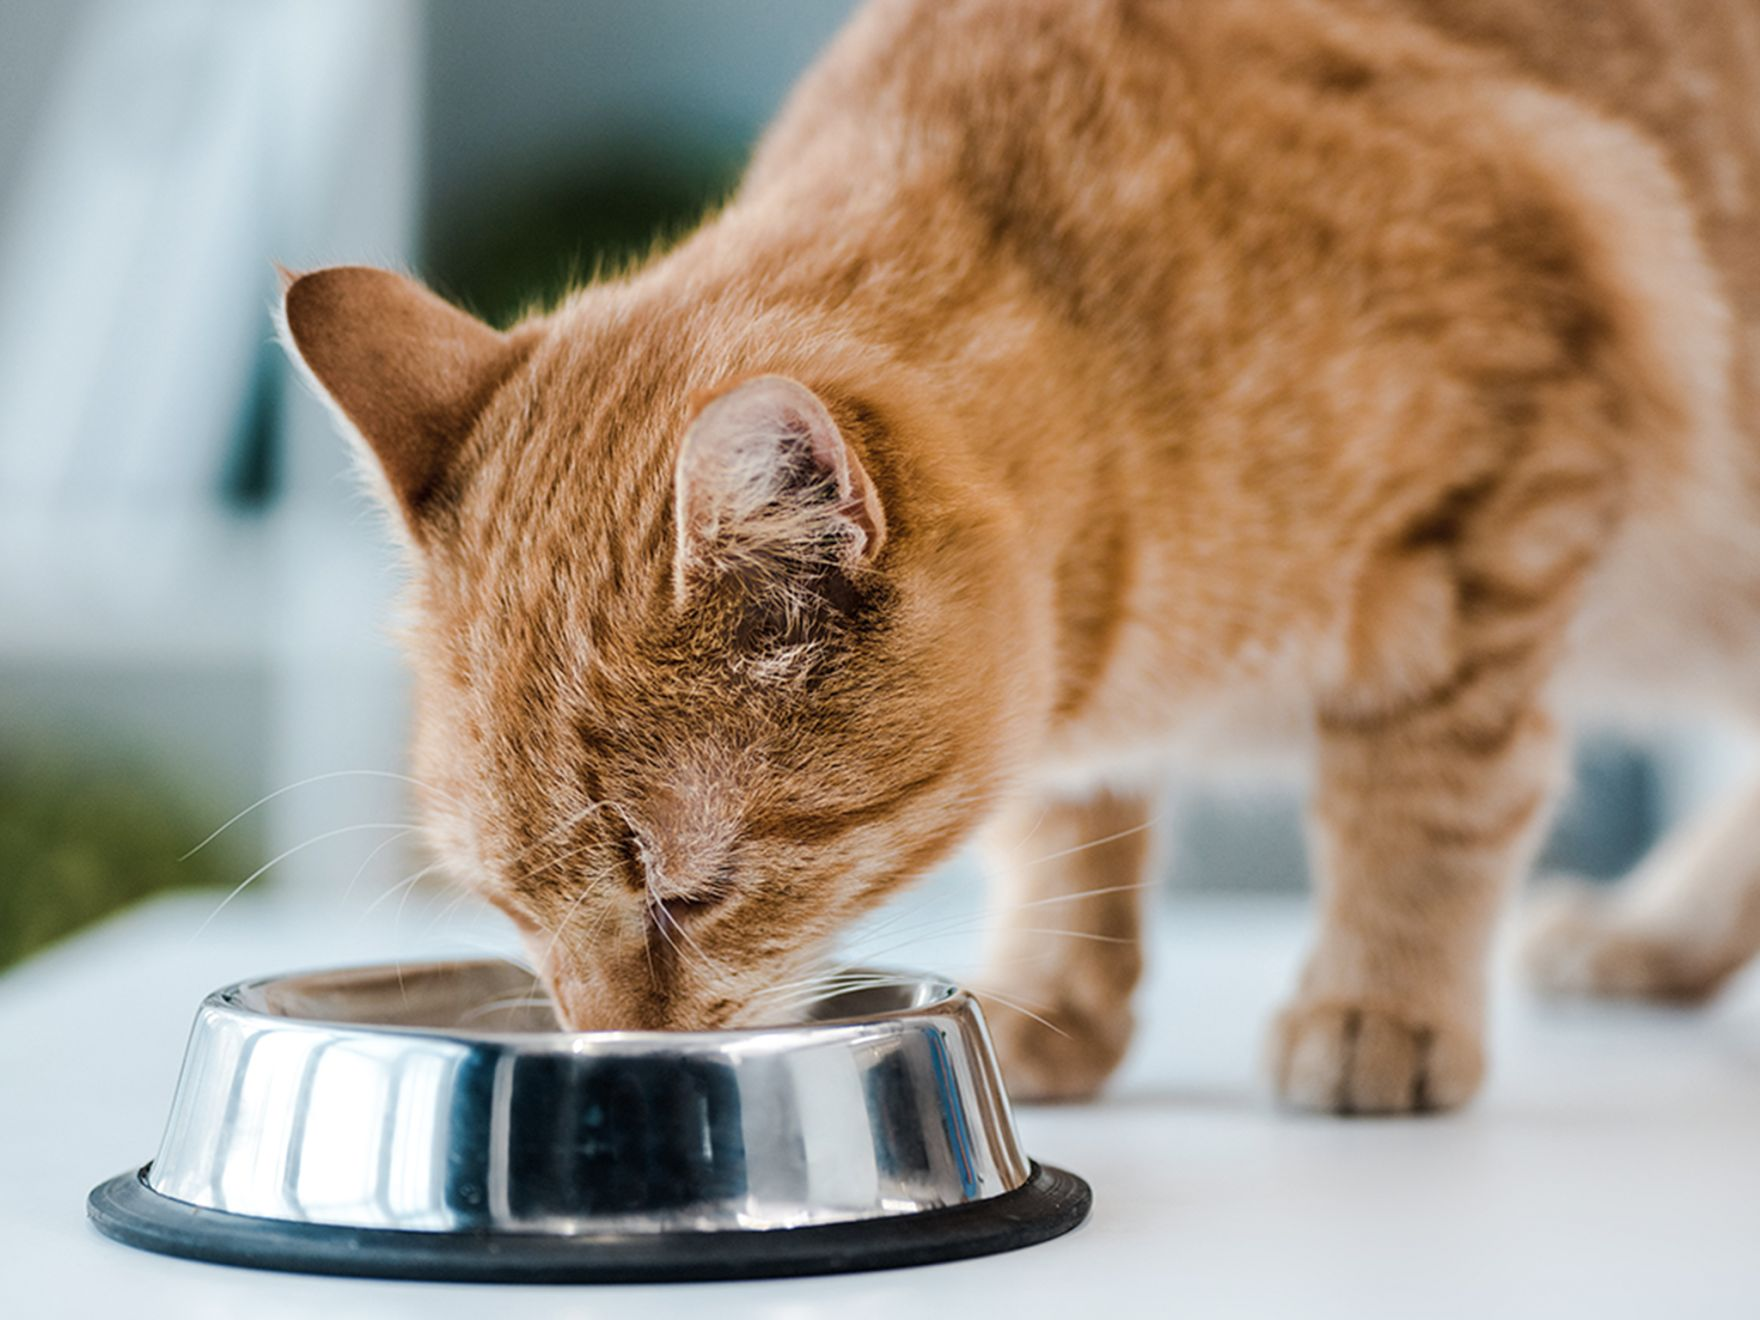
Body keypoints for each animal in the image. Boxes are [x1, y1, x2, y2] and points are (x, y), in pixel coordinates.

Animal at [281, 0, 1760, 1119]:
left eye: (685, 892)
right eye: (502, 902)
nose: (617, 1061)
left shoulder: (1501, 513)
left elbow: (1421, 800)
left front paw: (1377, 997)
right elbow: (1065, 824)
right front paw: (1053, 993)